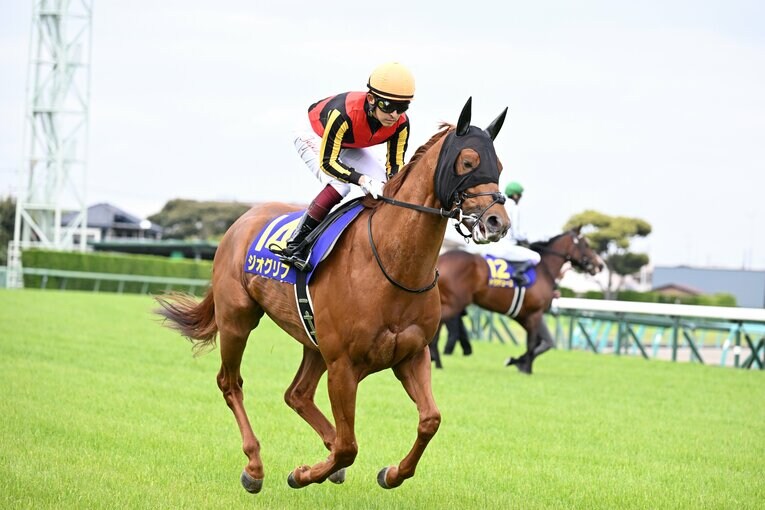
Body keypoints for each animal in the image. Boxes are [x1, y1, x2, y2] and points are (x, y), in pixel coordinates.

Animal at [154, 98, 510, 493]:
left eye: (499, 166)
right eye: (468, 162)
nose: (497, 222)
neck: (393, 264)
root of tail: (241, 221)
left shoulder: (413, 355)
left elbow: (429, 420)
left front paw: (390, 473)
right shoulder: (343, 365)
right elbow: (348, 446)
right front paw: (303, 474)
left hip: (313, 341)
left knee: (296, 394)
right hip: (237, 319)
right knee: (231, 383)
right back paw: (255, 467)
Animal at [430, 227, 603, 373]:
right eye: (586, 244)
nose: (600, 265)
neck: (544, 270)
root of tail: (439, 261)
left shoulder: (525, 316)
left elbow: (544, 343)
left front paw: (517, 361)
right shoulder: (535, 314)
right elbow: (532, 343)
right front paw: (526, 369)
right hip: (454, 304)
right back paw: (436, 362)